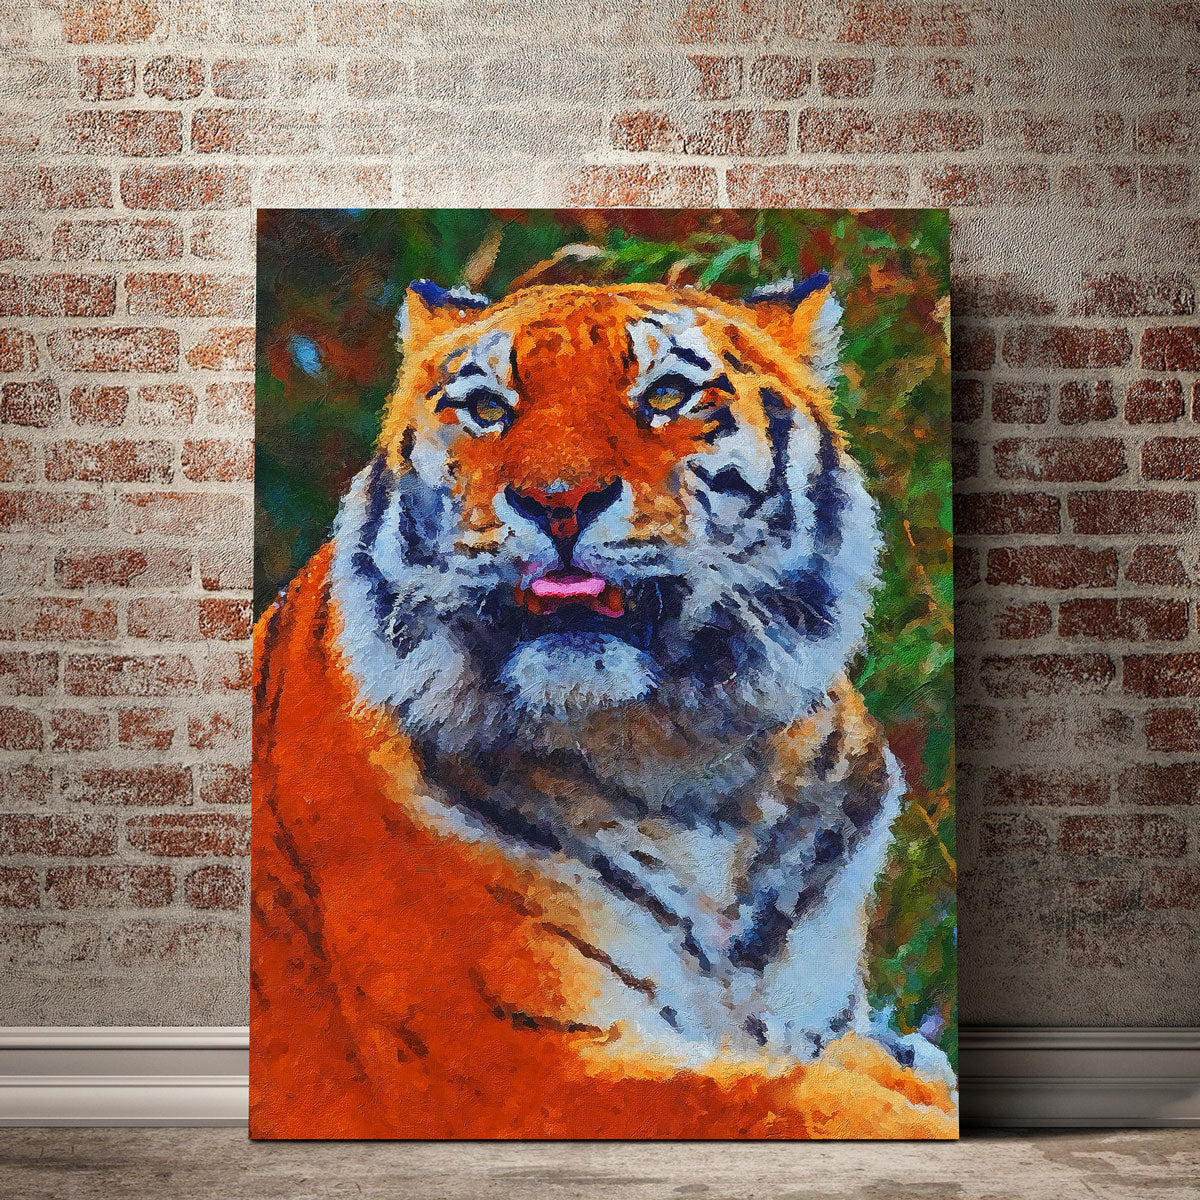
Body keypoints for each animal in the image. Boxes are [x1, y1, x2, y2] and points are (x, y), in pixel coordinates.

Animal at [250, 272, 958, 1139]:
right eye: (487, 407)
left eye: (667, 395)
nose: (559, 499)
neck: (686, 761)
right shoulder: (529, 1068)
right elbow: (797, 1101)